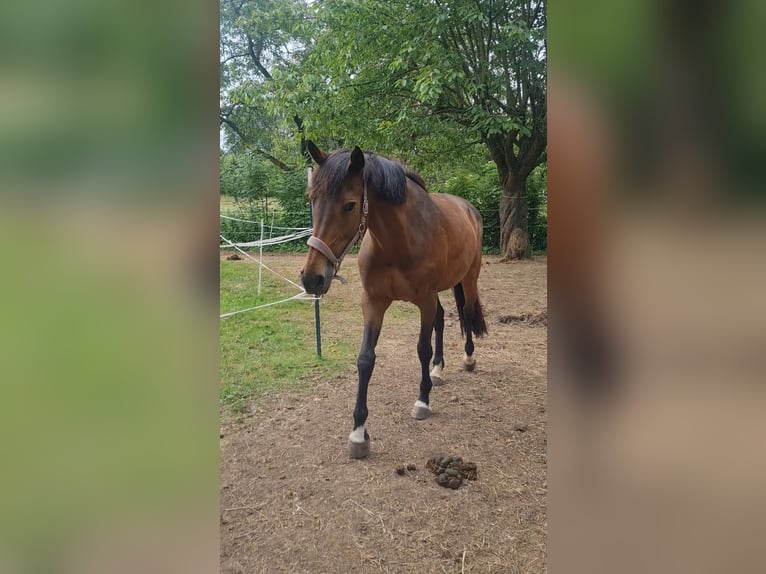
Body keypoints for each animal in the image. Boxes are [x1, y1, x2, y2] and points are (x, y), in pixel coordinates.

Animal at [300, 142, 486, 462]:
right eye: (312, 199)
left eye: (349, 205)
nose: (312, 278)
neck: (399, 241)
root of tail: (469, 209)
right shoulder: (374, 302)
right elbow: (365, 359)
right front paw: (358, 432)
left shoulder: (424, 300)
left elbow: (422, 349)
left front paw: (422, 401)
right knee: (442, 318)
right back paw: (438, 370)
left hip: (468, 278)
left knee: (466, 310)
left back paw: (468, 358)